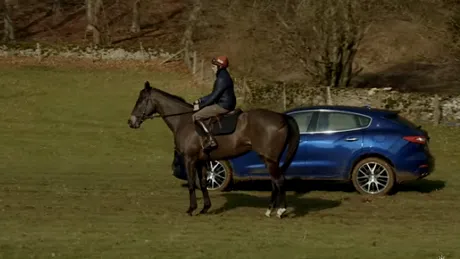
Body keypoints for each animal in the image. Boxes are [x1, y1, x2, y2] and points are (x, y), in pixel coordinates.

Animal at [127, 82, 300, 219]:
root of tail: (281, 117)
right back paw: (270, 210)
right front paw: (205, 208)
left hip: (269, 159)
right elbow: (203, 183)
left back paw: (280, 211)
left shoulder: (189, 159)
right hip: (268, 159)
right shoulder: (202, 160)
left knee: (279, 180)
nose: (131, 122)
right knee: (275, 181)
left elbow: (191, 184)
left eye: (141, 100)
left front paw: (191, 209)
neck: (183, 121)